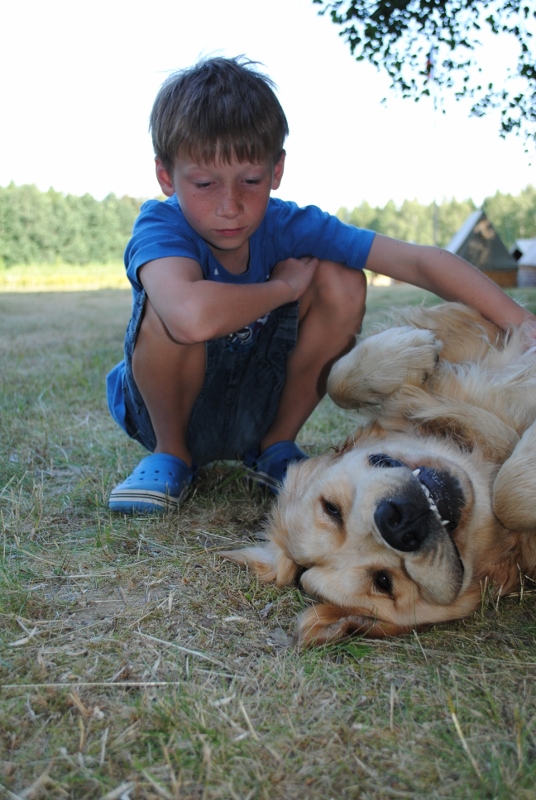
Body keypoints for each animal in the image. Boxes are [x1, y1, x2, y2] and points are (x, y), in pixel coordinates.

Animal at [222, 302, 536, 645]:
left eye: (331, 509)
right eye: (384, 582)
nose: (397, 521)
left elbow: (335, 380)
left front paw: (410, 349)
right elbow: (508, 496)